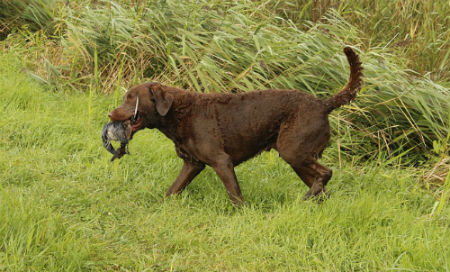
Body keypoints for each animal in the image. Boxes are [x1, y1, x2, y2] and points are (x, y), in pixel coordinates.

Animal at [108, 47, 362, 204]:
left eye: (131, 98)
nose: (110, 113)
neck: (179, 112)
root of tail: (323, 104)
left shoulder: (222, 162)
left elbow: (236, 196)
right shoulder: (192, 164)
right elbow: (172, 190)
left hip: (294, 151)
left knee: (326, 173)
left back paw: (307, 197)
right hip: (298, 159)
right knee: (322, 186)